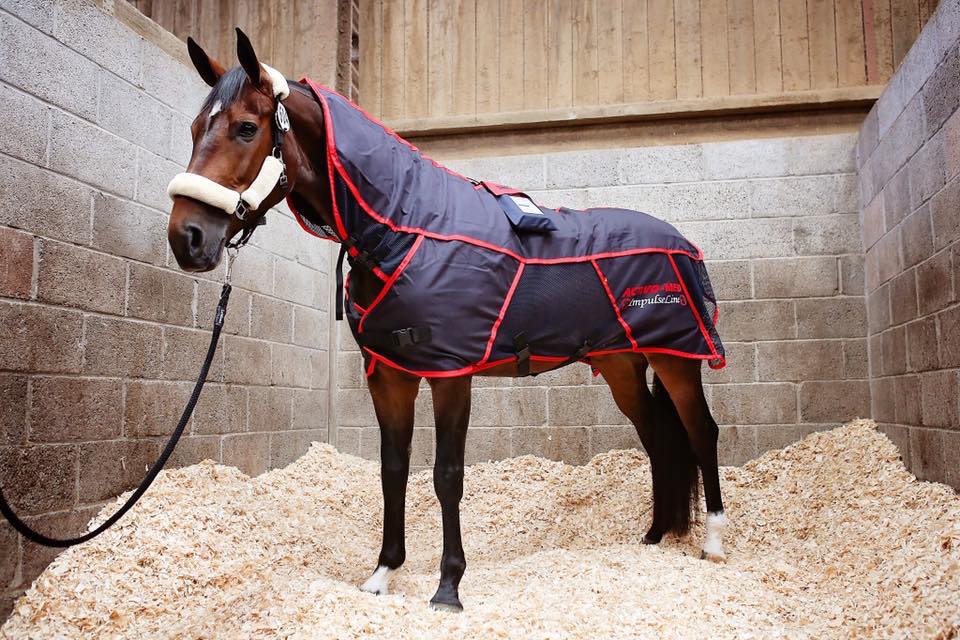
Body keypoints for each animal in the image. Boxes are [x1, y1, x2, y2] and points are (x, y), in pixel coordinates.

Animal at [167, 29, 729, 613]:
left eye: (246, 127)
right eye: (195, 129)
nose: (187, 238)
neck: (404, 228)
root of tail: (684, 242)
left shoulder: (451, 375)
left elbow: (446, 476)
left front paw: (448, 587)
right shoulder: (390, 377)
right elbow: (393, 471)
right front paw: (383, 574)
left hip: (678, 358)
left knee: (700, 432)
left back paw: (711, 544)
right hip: (623, 366)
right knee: (659, 439)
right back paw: (655, 537)